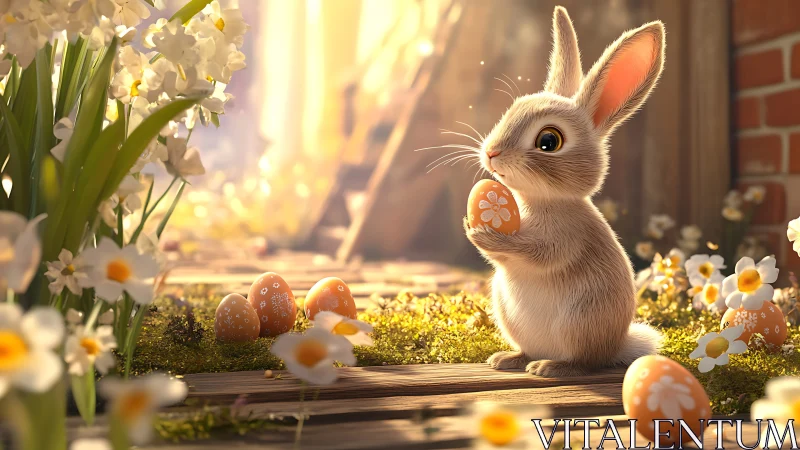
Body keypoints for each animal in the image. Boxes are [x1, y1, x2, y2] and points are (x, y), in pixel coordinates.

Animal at [464, 6, 665, 377]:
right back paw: (509, 359)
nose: (492, 153)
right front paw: (472, 227)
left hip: (581, 321)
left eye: (548, 141)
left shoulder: (568, 237)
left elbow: (539, 254)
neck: (540, 201)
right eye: (511, 110)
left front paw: (486, 235)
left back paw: (550, 367)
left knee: (585, 362)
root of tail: (616, 347)